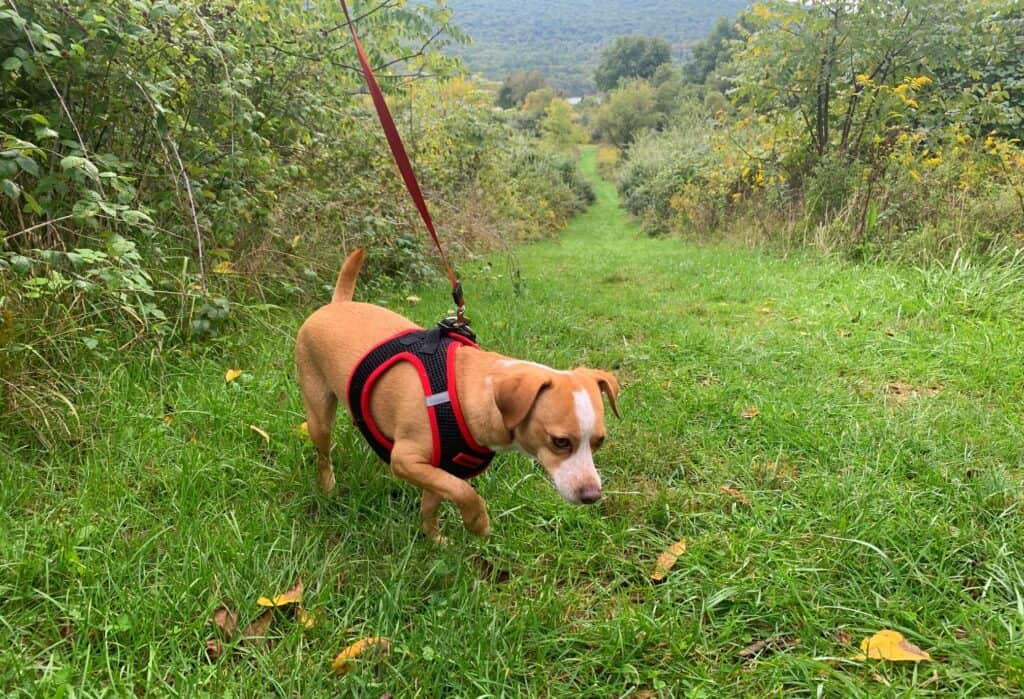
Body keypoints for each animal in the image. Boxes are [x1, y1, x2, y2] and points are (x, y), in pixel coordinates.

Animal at [292, 249, 618, 540]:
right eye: (560, 442)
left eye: (599, 441)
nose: (592, 495)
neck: (467, 390)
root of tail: (336, 304)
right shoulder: (406, 460)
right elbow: (465, 491)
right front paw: (477, 522)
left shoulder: (442, 469)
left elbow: (434, 502)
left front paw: (434, 540)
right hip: (318, 413)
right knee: (323, 453)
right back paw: (329, 487)